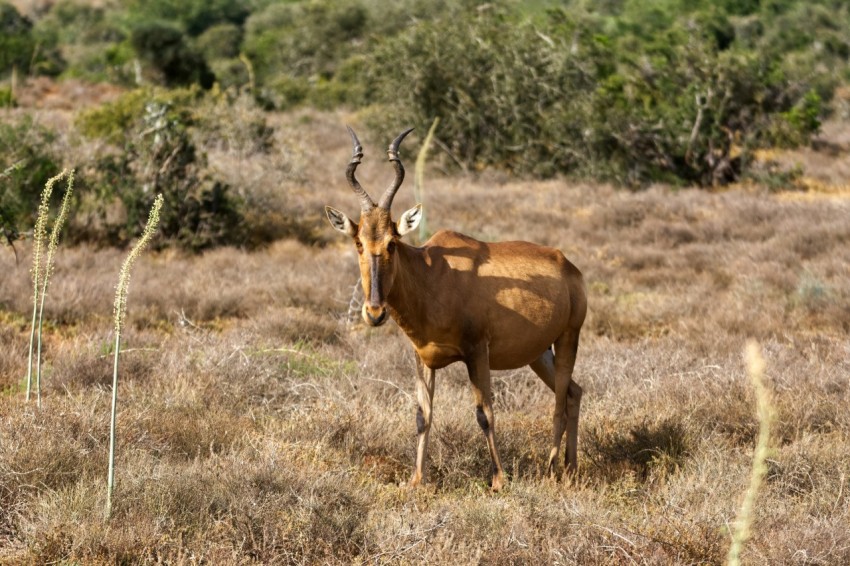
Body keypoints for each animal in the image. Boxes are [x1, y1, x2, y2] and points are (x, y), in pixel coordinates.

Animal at [324, 129, 584, 492]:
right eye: (359, 242)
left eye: (392, 242)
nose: (374, 313)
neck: (434, 273)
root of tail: (569, 265)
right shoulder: (422, 357)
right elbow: (423, 415)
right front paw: (416, 480)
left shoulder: (477, 352)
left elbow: (484, 413)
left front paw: (499, 480)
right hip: (538, 353)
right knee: (574, 392)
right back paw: (571, 469)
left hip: (568, 338)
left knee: (560, 402)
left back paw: (551, 471)